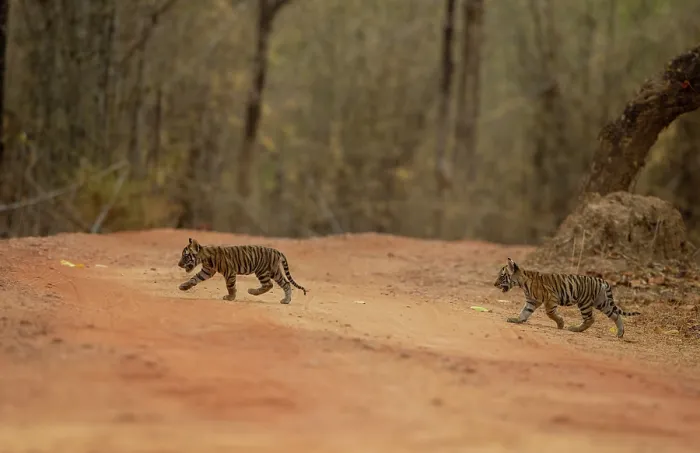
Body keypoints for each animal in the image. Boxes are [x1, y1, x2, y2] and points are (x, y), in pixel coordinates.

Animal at [177, 238, 308, 304]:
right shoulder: (207, 271)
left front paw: (230, 297)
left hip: (263, 271)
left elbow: (230, 286)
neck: (204, 257)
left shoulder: (229, 272)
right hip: (275, 272)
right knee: (286, 283)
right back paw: (286, 300)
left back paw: (252, 291)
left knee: (269, 284)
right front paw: (183, 286)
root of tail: (277, 251)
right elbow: (194, 278)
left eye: (185, 256)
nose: (179, 264)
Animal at [493, 257, 640, 338]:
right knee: (615, 315)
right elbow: (524, 312)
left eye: (502, 276)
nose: (494, 284)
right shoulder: (531, 301)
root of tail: (602, 280)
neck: (522, 283)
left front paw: (561, 324)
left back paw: (575, 329)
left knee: (590, 319)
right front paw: (517, 320)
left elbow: (550, 313)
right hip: (602, 303)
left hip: (585, 302)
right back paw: (620, 334)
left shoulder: (550, 298)